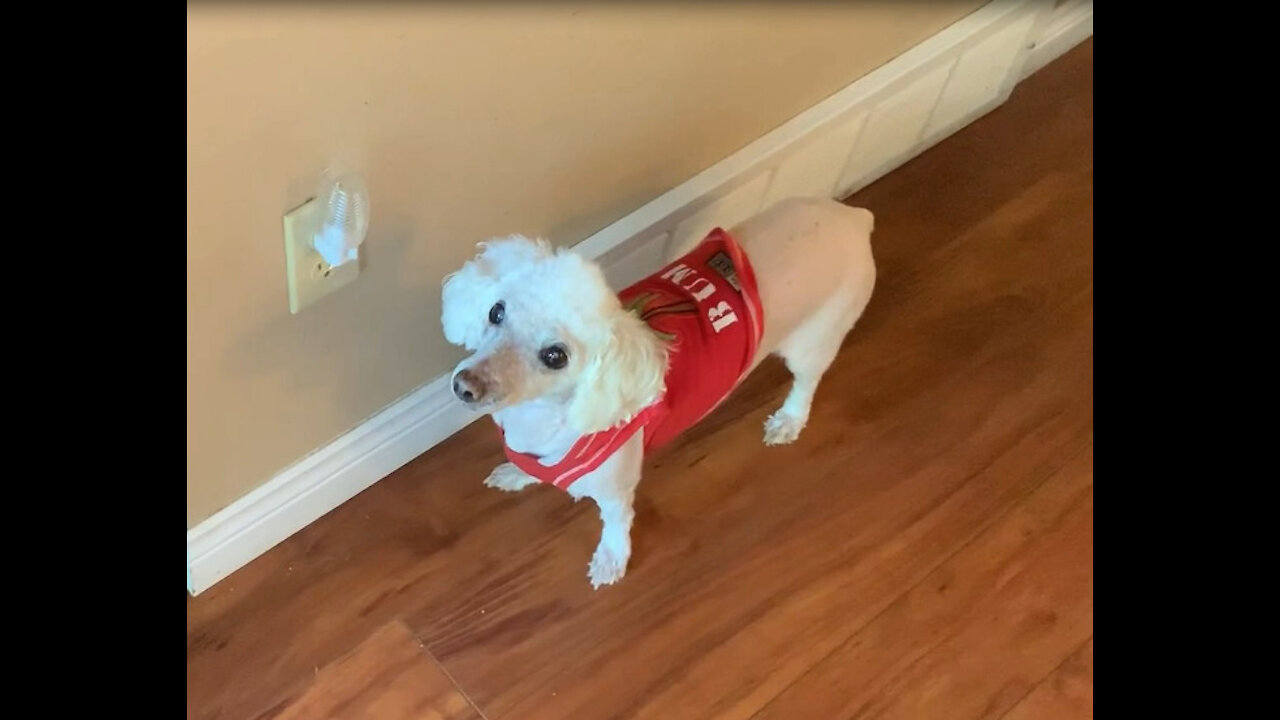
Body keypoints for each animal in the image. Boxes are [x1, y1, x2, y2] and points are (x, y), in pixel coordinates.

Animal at [437, 194, 870, 584]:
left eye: (555, 356)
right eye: (496, 311)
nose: (464, 386)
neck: (536, 418)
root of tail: (854, 219)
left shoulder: (615, 490)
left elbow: (616, 525)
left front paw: (611, 561)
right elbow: (529, 469)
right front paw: (516, 474)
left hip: (813, 343)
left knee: (806, 383)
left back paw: (789, 421)